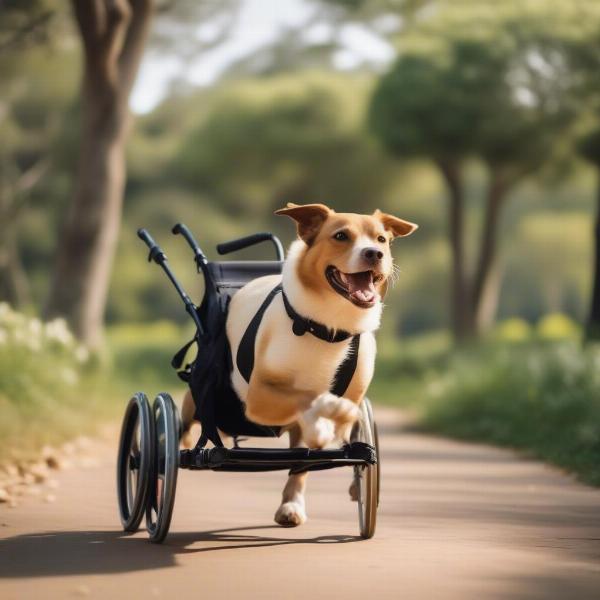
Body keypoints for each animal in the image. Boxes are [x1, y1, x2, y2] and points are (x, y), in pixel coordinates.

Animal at [183, 204, 418, 528]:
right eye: (341, 236)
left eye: (381, 239)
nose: (374, 253)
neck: (328, 328)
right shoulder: (260, 396)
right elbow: (310, 397)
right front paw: (328, 418)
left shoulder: (354, 393)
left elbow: (333, 426)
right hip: (199, 398)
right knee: (179, 421)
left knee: (300, 460)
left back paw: (292, 504)